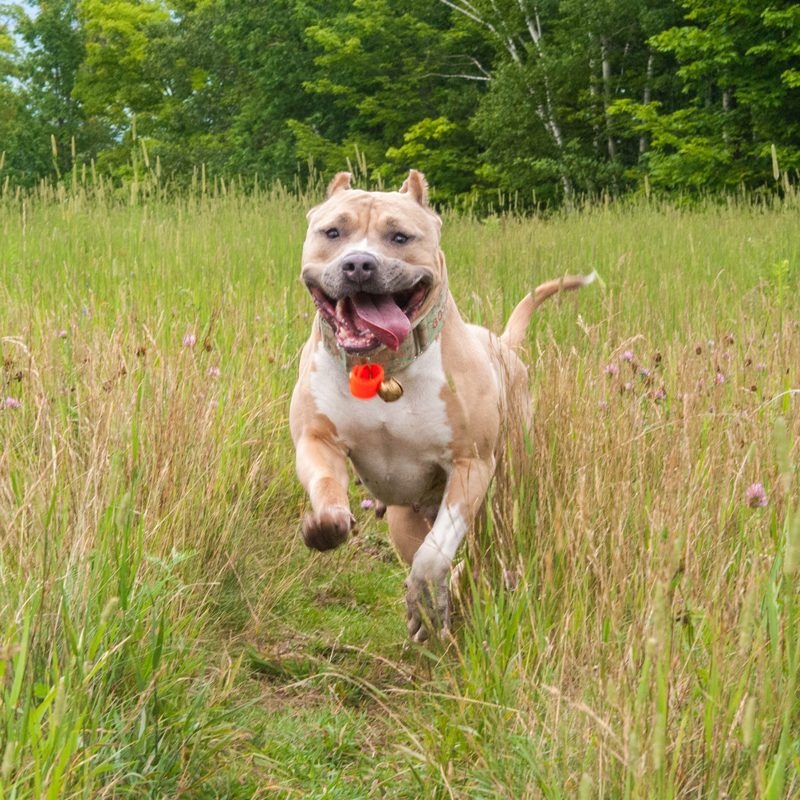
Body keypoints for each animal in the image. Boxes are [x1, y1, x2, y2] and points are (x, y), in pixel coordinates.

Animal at [290, 172, 592, 640]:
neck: (384, 369)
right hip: (404, 519)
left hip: (503, 500)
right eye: (333, 232)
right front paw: (325, 526)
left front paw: (428, 599)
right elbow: (327, 488)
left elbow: (435, 554)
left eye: (399, 236)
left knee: (483, 554)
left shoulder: (471, 465)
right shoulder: (316, 440)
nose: (358, 264)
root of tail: (502, 343)